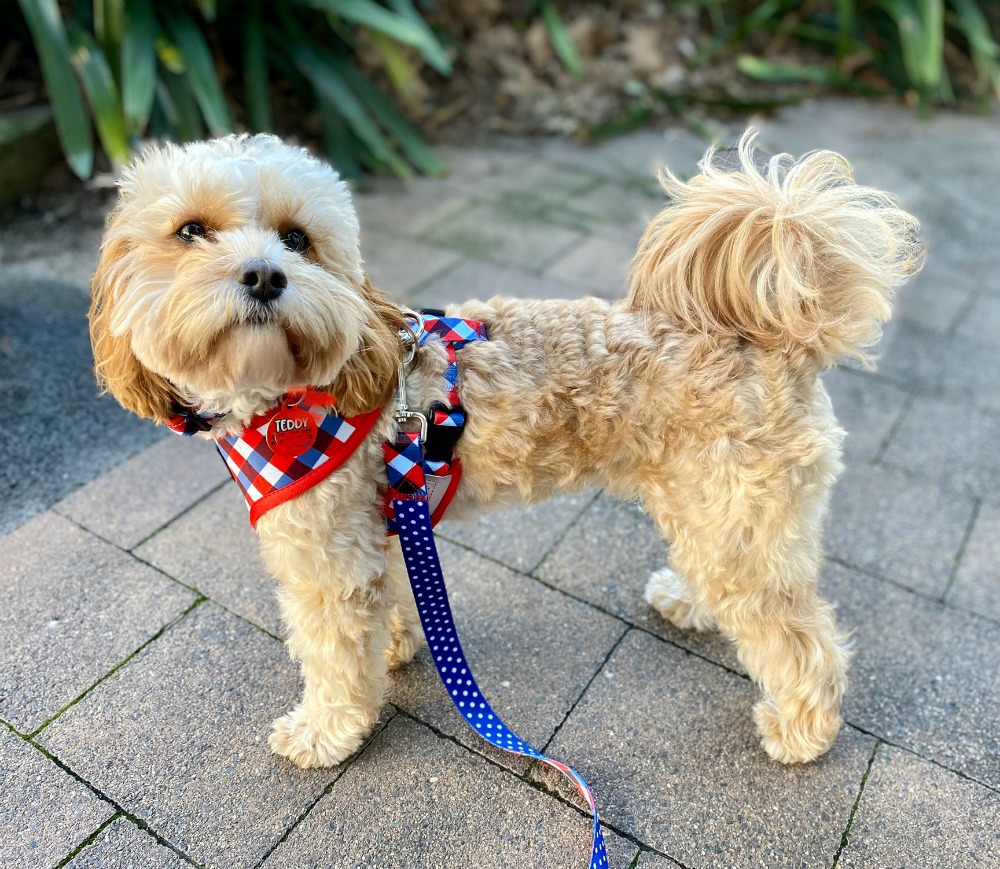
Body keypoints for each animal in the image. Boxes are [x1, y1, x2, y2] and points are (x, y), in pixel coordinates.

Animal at [88, 129, 920, 768]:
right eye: (190, 231)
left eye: (298, 237)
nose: (265, 275)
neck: (299, 394)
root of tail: (778, 340)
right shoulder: (384, 524)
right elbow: (393, 602)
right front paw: (395, 650)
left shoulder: (326, 558)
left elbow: (332, 656)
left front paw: (325, 733)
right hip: (714, 507)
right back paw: (689, 601)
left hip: (736, 515)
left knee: (801, 638)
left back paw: (801, 731)